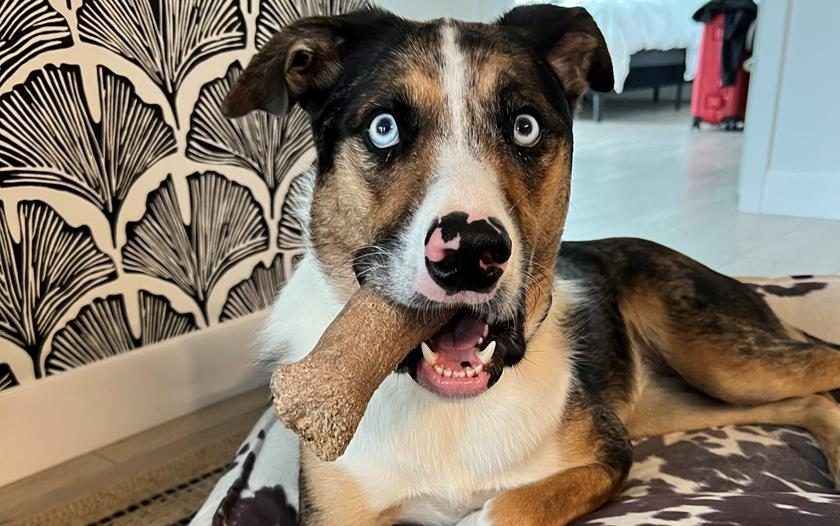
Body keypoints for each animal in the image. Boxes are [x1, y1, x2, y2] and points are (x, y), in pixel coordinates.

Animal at [223, 5, 840, 525]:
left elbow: (507, 505)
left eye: (525, 126)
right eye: (383, 127)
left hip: (719, 358)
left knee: (821, 367)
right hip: (679, 399)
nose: (469, 252)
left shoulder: (608, 455)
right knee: (807, 399)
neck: (448, 407)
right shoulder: (337, 512)